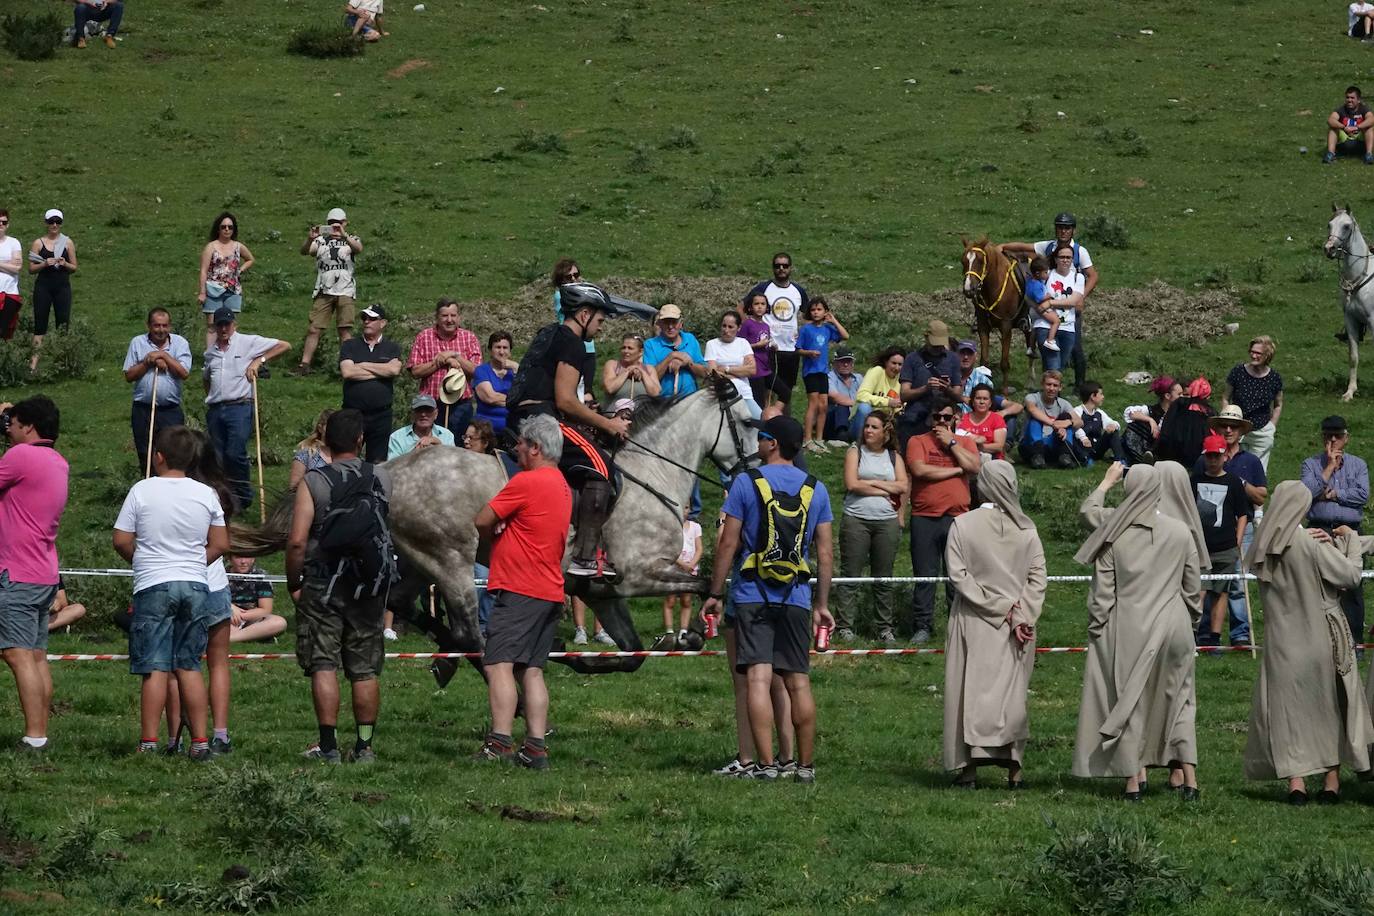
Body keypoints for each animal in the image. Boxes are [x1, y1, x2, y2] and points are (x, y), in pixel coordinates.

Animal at [230, 376, 758, 678]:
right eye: (752, 423)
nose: (753, 471)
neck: (653, 475)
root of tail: (387, 470)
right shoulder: (638, 574)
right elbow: (703, 583)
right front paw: (691, 635)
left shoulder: (603, 593)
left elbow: (632, 653)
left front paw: (589, 660)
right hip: (452, 561)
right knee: (471, 634)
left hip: (418, 561)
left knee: (405, 604)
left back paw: (446, 652)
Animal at [967, 234, 1033, 392]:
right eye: (963, 261)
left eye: (980, 261)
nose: (969, 289)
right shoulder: (983, 326)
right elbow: (984, 361)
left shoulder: (1006, 326)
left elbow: (1004, 363)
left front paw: (1004, 391)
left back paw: (1031, 381)